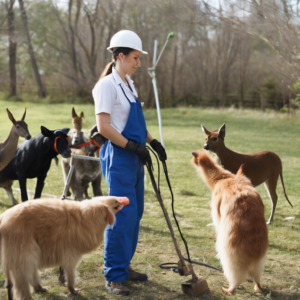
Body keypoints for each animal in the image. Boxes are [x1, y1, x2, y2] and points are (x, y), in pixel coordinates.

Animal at [0, 196, 129, 300]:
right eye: (115, 202)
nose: (123, 199)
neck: (86, 218)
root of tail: (3, 220)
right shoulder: (71, 254)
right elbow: (70, 275)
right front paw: (72, 290)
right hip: (24, 252)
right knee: (22, 280)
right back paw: (28, 294)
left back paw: (39, 288)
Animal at [193, 150, 268, 296]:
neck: (224, 178)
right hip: (258, 260)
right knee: (256, 276)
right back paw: (258, 287)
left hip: (230, 256)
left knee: (236, 277)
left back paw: (229, 289)